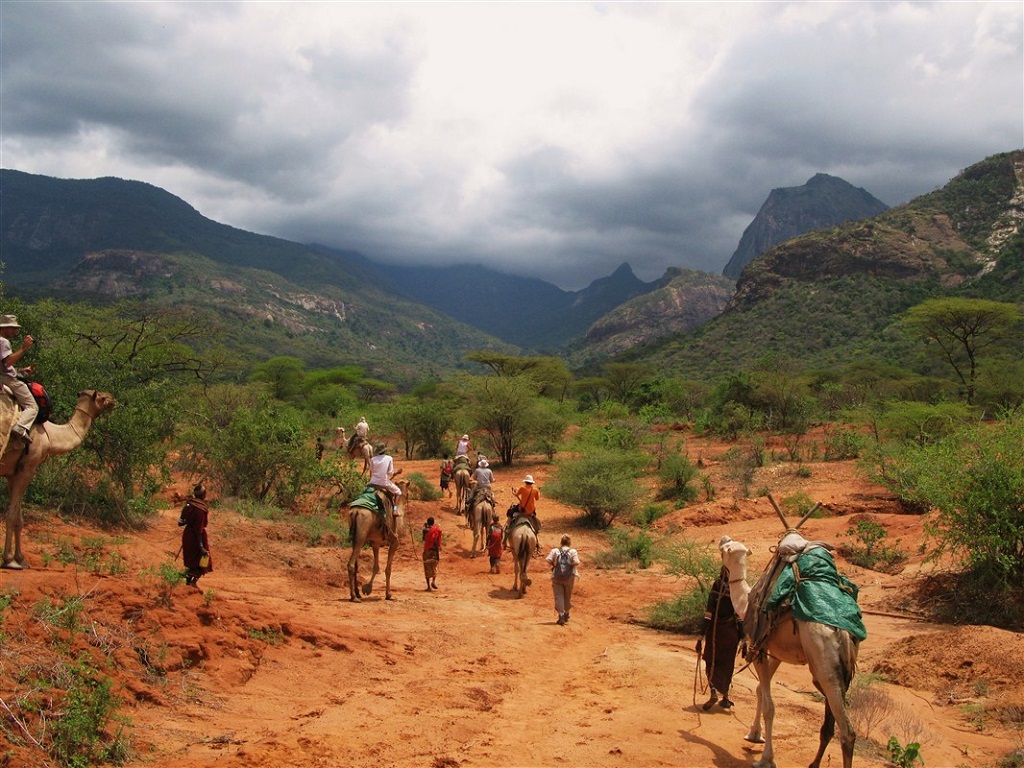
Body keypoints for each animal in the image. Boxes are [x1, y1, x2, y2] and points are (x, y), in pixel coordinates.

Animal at [1, 393, 117, 569]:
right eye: (103, 398)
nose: (114, 400)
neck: (49, 435)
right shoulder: (27, 468)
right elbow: (12, 515)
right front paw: (10, 560)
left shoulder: (12, 474)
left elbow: (18, 518)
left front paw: (20, 559)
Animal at [720, 495, 864, 768]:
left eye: (727, 547)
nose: (722, 537)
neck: (746, 601)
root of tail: (841, 632)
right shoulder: (773, 650)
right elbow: (760, 690)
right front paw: (754, 735)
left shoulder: (758, 646)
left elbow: (770, 705)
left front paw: (766, 759)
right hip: (839, 666)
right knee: (832, 722)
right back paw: (814, 763)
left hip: (823, 658)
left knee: (847, 731)